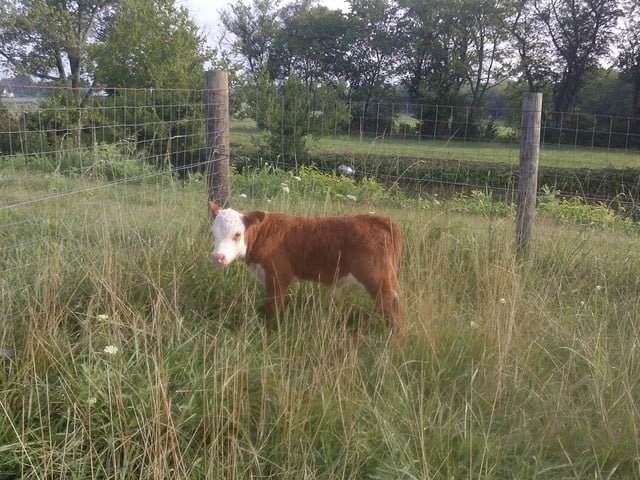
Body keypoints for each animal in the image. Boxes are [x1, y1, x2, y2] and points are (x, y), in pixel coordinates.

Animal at [208, 202, 405, 338]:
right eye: (213, 233)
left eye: (237, 234)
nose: (218, 257)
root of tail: (382, 220)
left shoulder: (278, 277)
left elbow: (272, 307)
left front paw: (270, 332)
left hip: (377, 279)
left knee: (392, 308)